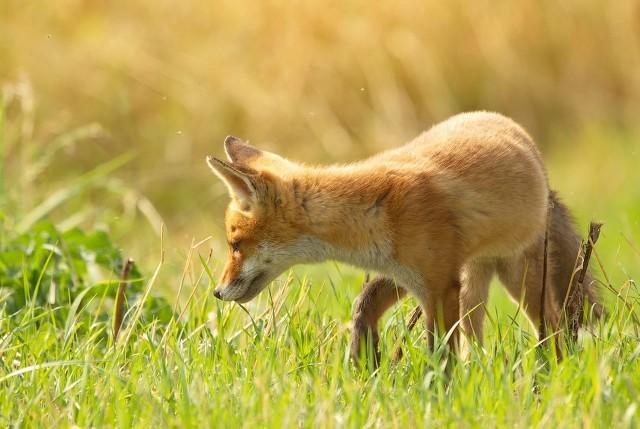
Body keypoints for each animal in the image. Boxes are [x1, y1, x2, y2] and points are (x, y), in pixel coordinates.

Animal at [208, 112, 604, 360]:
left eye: (235, 245)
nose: (217, 292)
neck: (375, 210)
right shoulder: (405, 272)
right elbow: (364, 303)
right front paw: (363, 362)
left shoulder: (438, 285)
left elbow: (439, 353)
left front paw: (440, 397)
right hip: (472, 278)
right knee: (476, 337)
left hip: (519, 274)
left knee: (552, 324)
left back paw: (548, 373)